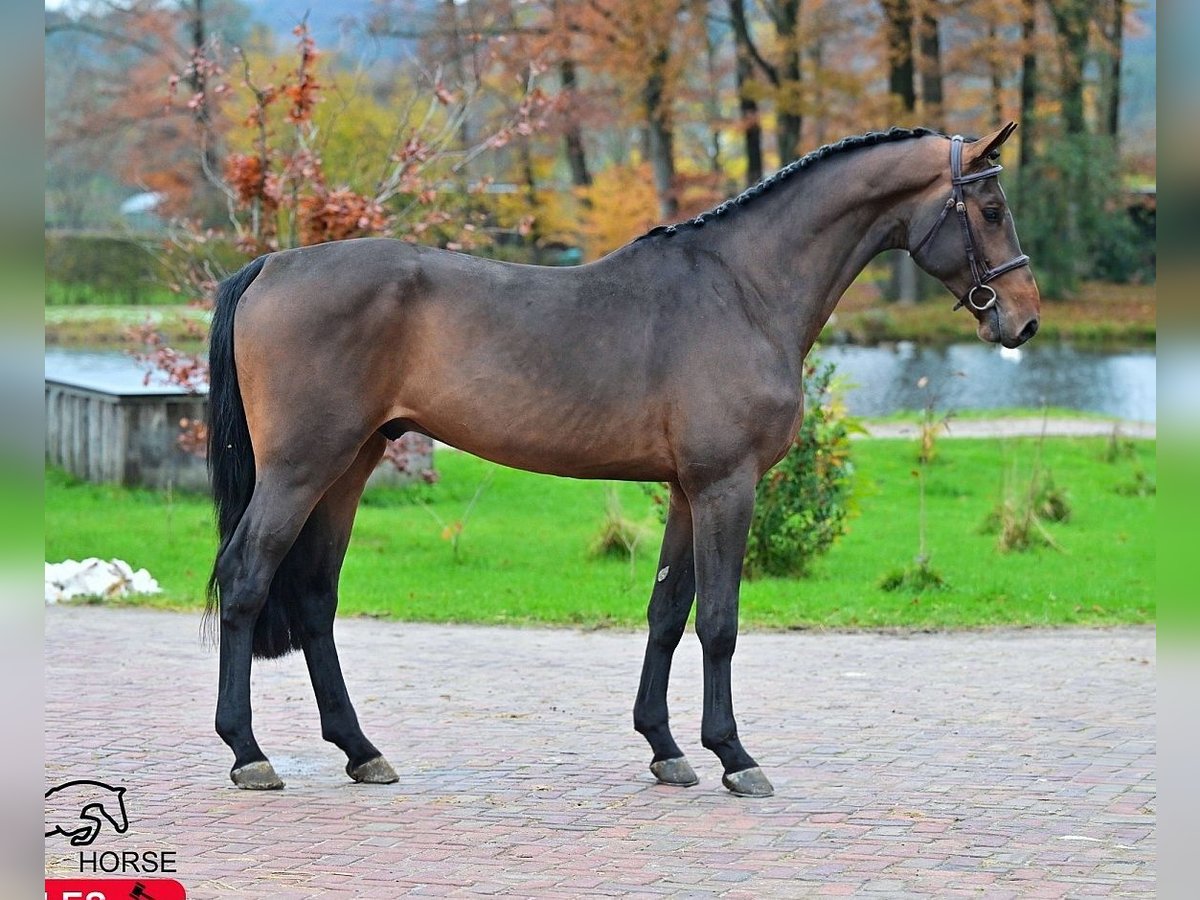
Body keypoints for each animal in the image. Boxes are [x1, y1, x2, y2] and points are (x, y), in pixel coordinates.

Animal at [208, 125, 1041, 796]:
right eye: (991, 211)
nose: (1025, 320)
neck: (743, 289)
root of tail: (271, 266)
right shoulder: (727, 486)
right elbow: (720, 622)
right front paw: (734, 756)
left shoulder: (685, 490)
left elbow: (667, 613)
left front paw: (666, 749)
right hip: (302, 469)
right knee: (247, 578)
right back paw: (249, 754)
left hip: (347, 468)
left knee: (315, 597)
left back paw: (360, 750)